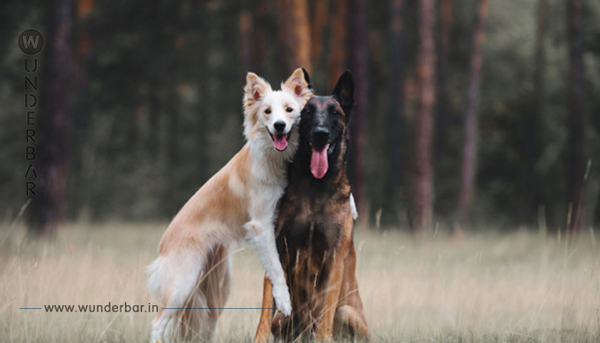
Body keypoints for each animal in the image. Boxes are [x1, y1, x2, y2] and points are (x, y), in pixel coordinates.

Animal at [148, 68, 312, 342]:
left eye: (289, 110)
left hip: (217, 287)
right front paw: (284, 301)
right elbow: (277, 268)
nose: (279, 126)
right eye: (267, 112)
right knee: (157, 323)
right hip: (183, 284)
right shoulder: (261, 226)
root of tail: (163, 244)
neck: (272, 158)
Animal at [254, 71, 368, 342]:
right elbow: (265, 311)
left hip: (347, 311)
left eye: (335, 113)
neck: (315, 188)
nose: (321, 133)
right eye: (306, 112)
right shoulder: (276, 252)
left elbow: (326, 312)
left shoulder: (335, 259)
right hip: (283, 320)